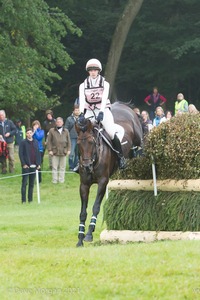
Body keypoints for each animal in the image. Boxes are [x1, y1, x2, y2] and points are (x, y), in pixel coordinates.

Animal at [75, 101, 142, 246]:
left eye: (91, 142)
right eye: (78, 144)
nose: (86, 166)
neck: (95, 157)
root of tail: (124, 106)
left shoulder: (102, 182)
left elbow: (95, 207)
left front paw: (89, 234)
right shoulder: (84, 185)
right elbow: (83, 212)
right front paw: (80, 238)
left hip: (139, 139)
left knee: (139, 147)